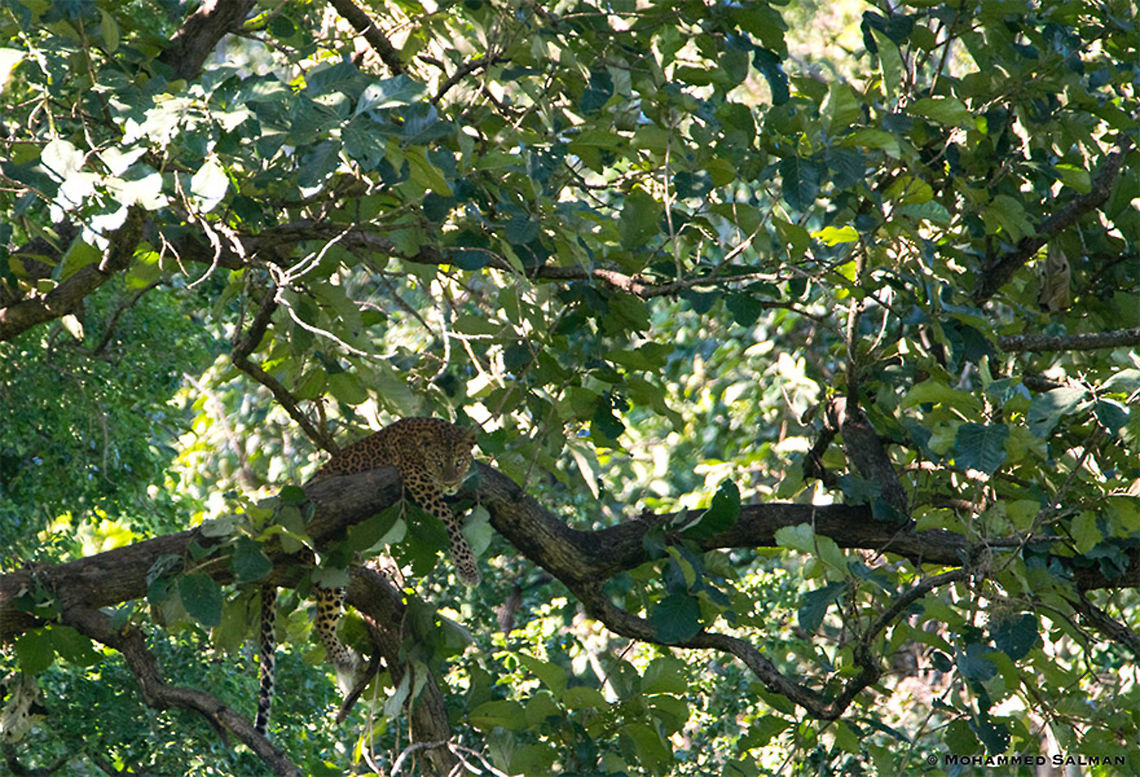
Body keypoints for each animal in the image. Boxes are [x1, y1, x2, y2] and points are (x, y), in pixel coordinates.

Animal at [254, 417, 479, 735]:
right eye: (438, 463)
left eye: (459, 462)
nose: (450, 483)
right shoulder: (417, 480)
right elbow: (448, 522)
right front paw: (468, 568)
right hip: (330, 566)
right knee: (323, 621)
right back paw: (343, 662)